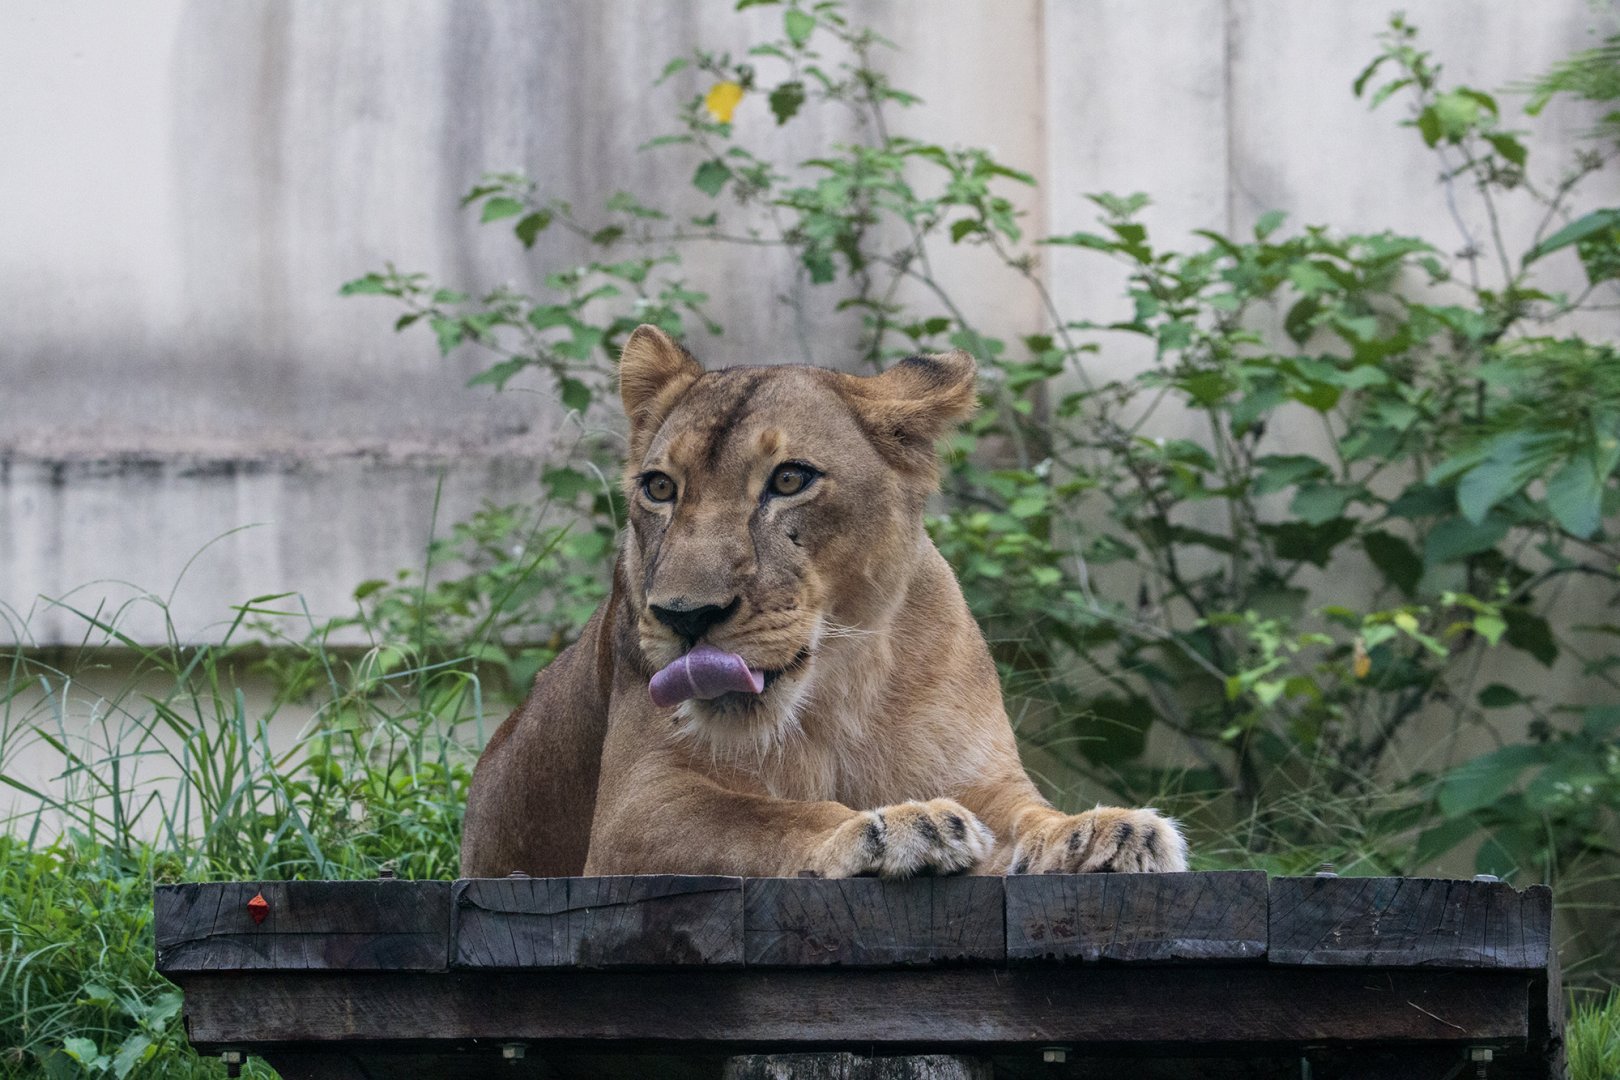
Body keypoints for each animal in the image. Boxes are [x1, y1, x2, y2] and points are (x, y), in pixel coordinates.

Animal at [459, 324, 1187, 879]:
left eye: (789, 479)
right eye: (660, 487)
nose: (686, 617)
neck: (837, 686)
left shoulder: (986, 779)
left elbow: (1032, 816)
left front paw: (1108, 833)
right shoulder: (636, 811)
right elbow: (764, 818)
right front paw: (902, 828)